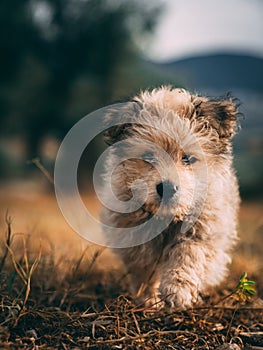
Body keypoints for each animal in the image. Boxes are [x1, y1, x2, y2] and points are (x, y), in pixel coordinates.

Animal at [100, 87, 240, 308]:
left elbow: (189, 254)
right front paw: (148, 299)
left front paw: (177, 290)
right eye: (148, 157)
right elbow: (144, 273)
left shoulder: (205, 233)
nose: (167, 188)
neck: (166, 219)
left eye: (187, 158)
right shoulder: (135, 244)